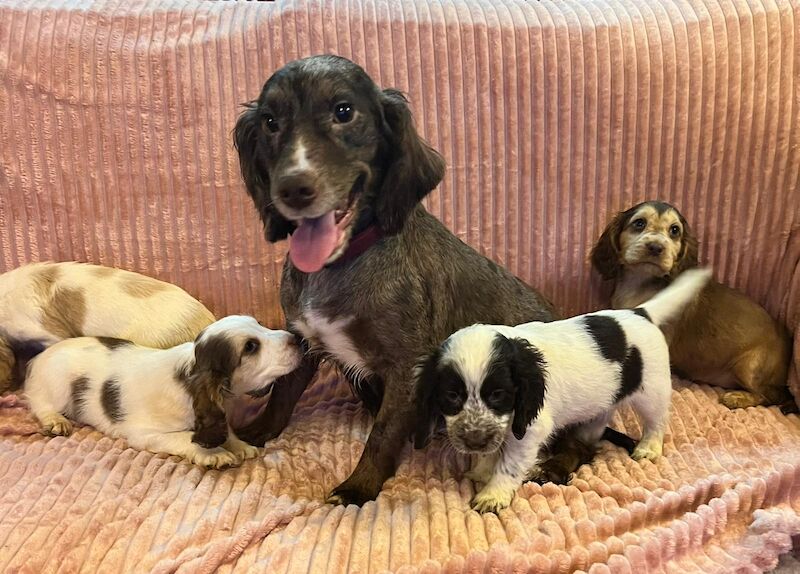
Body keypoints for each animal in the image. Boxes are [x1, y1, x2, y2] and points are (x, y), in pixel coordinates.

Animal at [26, 318, 304, 470]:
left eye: (259, 324)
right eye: (250, 347)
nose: (297, 338)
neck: (188, 375)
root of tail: (37, 359)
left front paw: (239, 445)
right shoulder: (146, 434)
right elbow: (185, 438)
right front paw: (214, 454)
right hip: (58, 387)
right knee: (39, 402)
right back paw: (55, 421)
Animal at [231, 53, 624, 504]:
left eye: (343, 112)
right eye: (270, 122)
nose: (293, 189)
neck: (343, 261)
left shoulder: (408, 364)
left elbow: (383, 433)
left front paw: (358, 487)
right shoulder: (304, 339)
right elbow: (282, 396)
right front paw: (253, 433)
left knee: (582, 443)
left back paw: (553, 466)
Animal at [416, 272, 708, 516]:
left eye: (498, 394)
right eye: (452, 396)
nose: (474, 441)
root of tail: (640, 312)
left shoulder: (529, 430)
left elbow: (508, 464)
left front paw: (493, 493)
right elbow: (493, 451)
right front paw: (482, 470)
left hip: (652, 391)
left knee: (656, 421)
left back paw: (648, 448)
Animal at [592, 202, 792, 414]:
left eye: (674, 230)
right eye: (639, 223)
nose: (656, 247)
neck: (639, 283)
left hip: (749, 365)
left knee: (770, 395)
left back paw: (737, 398)